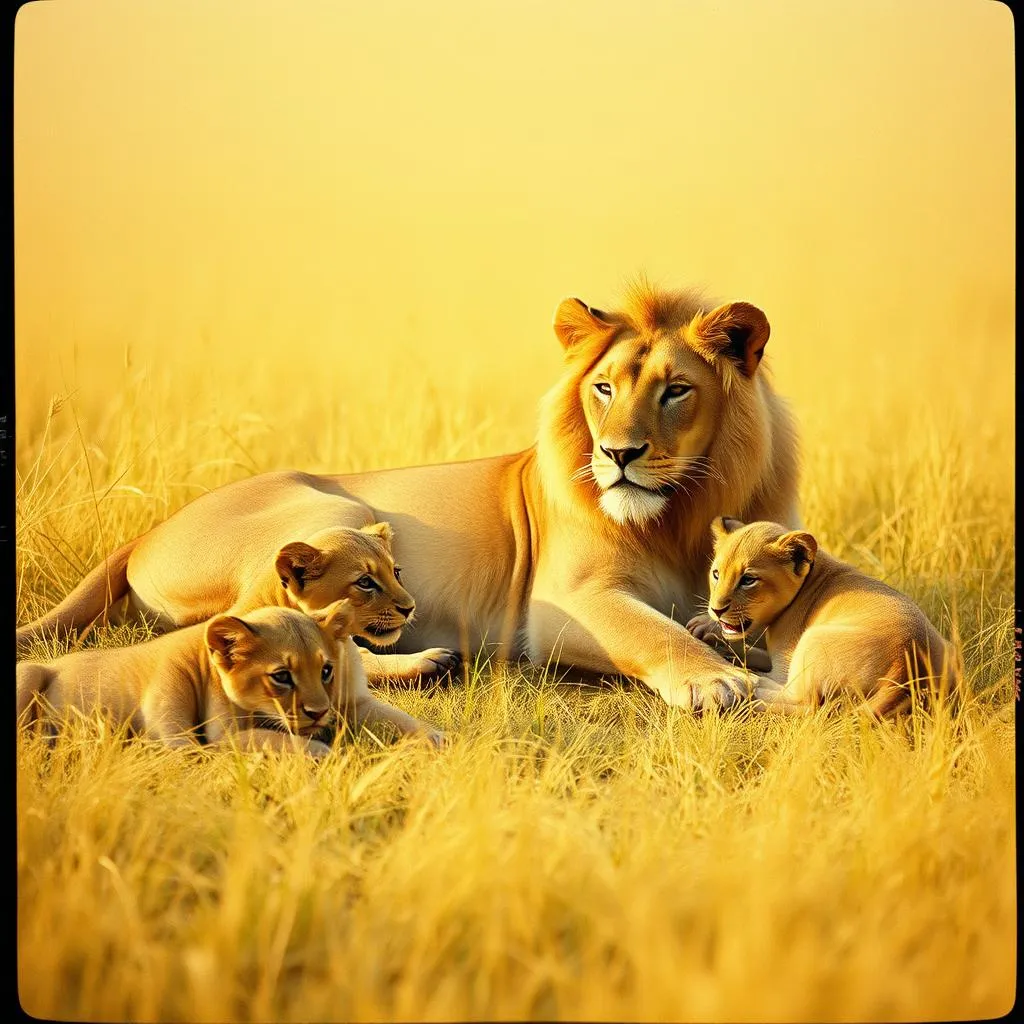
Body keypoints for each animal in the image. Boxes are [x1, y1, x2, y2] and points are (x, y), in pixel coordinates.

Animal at [17, 281, 799, 709]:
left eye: (676, 390)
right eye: (603, 388)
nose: (618, 455)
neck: (681, 511)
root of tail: (146, 532)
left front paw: (719, 640)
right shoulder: (563, 604)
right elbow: (653, 631)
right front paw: (712, 681)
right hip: (337, 511)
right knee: (252, 637)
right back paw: (427, 664)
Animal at [18, 599, 444, 753]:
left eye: (326, 670)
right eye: (282, 676)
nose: (318, 713)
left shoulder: (352, 703)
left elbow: (399, 718)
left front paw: (439, 739)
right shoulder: (203, 739)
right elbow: (266, 739)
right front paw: (324, 752)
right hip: (27, 672)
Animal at [687, 517, 960, 716]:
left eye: (748, 580)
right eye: (716, 574)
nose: (716, 609)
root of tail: (906, 664)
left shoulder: (785, 664)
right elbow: (751, 649)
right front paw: (706, 630)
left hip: (813, 640)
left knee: (808, 704)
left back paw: (751, 687)